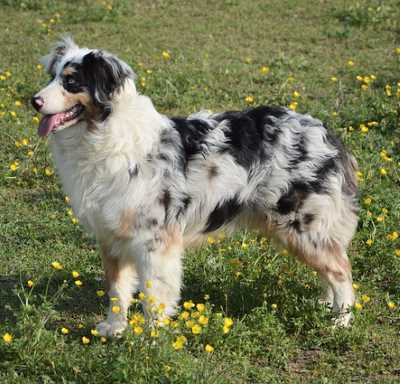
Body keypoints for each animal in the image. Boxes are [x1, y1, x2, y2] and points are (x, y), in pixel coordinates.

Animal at [30, 37, 356, 334]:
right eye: (52, 76)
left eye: (71, 81)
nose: (34, 101)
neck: (105, 135)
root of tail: (326, 133)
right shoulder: (110, 236)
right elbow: (117, 291)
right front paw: (114, 328)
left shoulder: (154, 242)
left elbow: (153, 296)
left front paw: (150, 339)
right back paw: (326, 304)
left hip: (303, 227)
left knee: (342, 269)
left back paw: (340, 320)